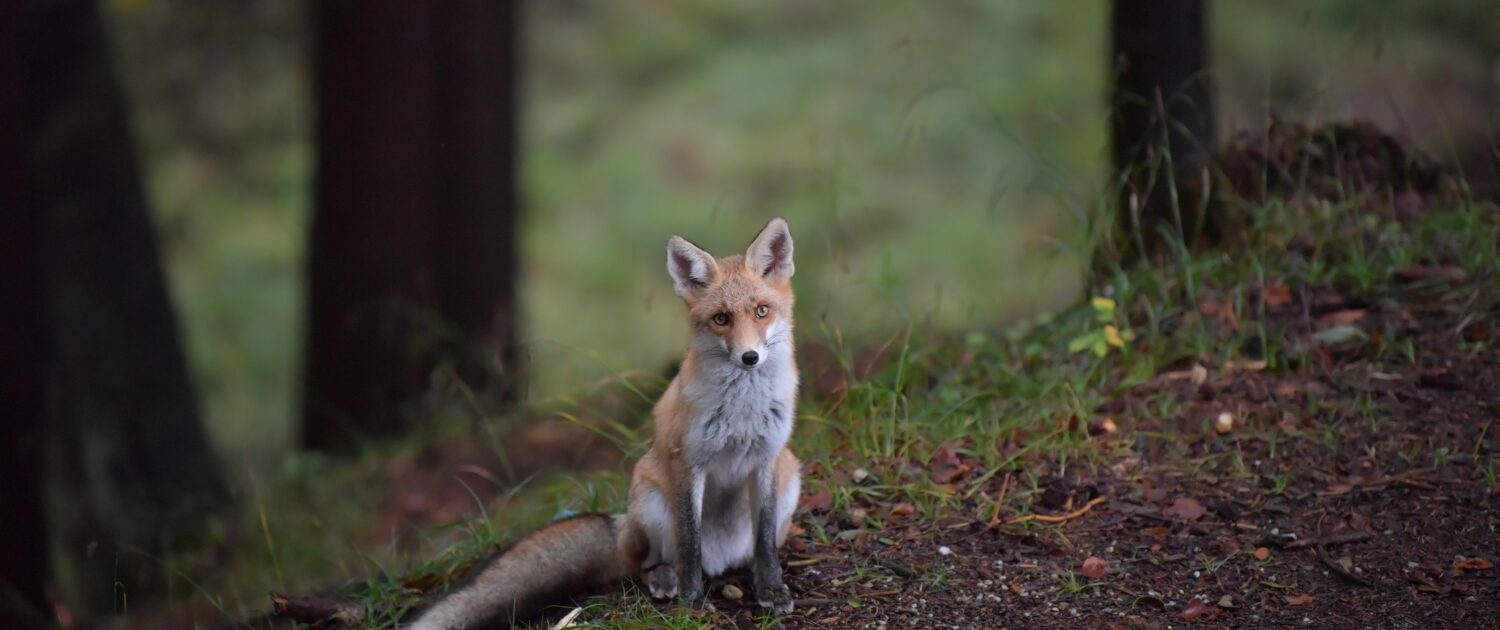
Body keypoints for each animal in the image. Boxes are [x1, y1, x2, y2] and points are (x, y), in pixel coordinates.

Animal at [411, 218, 802, 629]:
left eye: (761, 311)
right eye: (721, 319)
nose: (749, 357)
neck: (744, 410)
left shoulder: (768, 460)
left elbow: (764, 545)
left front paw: (771, 590)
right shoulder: (688, 462)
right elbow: (689, 544)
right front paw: (693, 602)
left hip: (791, 476)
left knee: (750, 550)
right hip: (651, 499)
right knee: (650, 562)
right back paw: (665, 578)